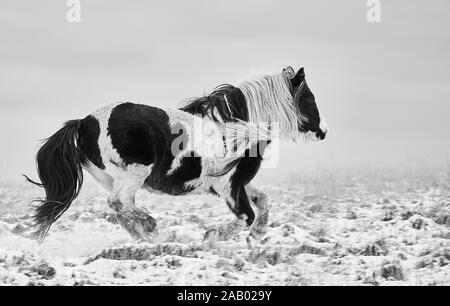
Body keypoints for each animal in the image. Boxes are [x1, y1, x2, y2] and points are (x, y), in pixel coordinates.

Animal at [25, 66, 326, 241]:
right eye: (309, 99)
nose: (322, 132)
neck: (237, 127)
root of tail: (84, 122)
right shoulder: (229, 185)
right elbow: (245, 216)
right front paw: (214, 236)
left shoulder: (239, 182)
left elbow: (264, 202)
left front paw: (259, 234)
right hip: (134, 174)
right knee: (119, 202)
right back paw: (151, 227)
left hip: (111, 178)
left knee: (120, 207)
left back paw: (146, 236)